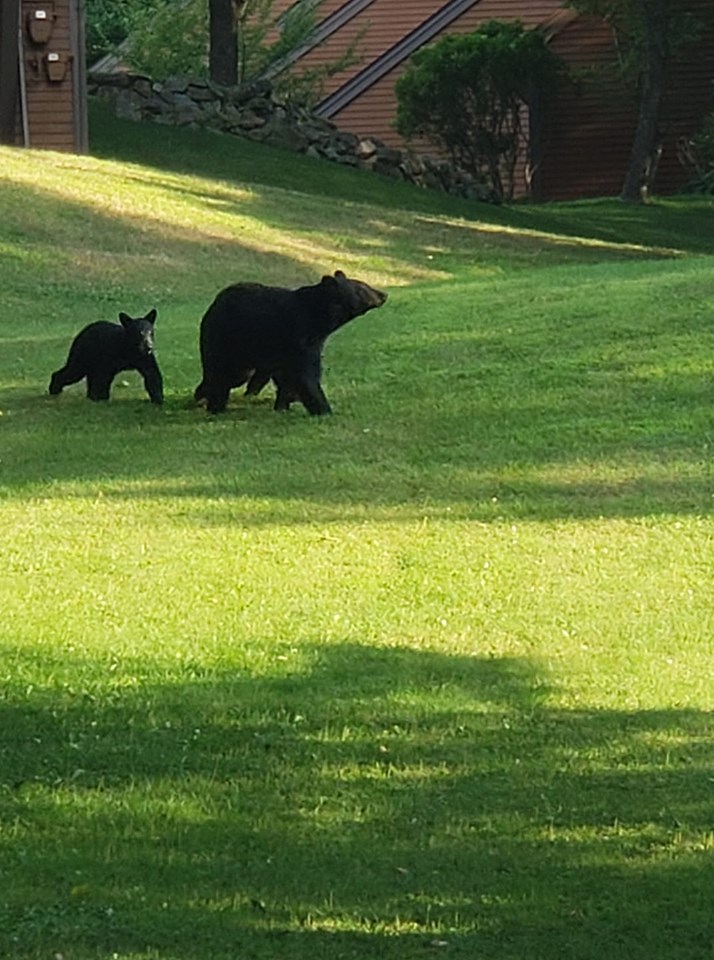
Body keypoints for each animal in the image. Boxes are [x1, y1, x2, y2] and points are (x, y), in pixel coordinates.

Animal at [193, 274, 384, 416]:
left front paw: (284, 404)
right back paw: (213, 404)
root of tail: (214, 304)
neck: (319, 318)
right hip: (226, 340)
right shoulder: (299, 335)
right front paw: (324, 410)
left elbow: (289, 378)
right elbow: (306, 376)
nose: (383, 294)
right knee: (222, 374)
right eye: (362, 288)